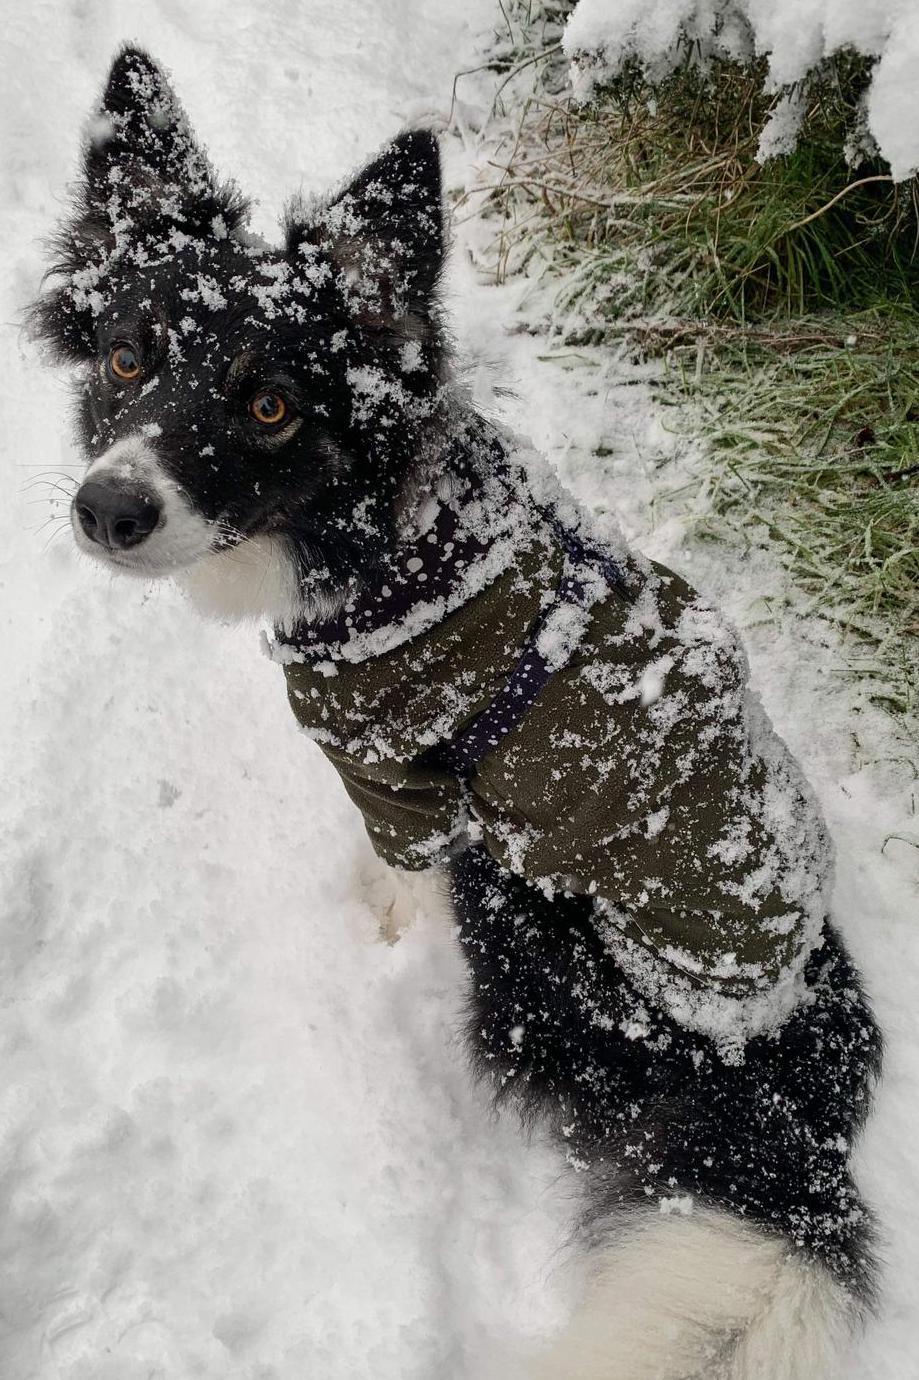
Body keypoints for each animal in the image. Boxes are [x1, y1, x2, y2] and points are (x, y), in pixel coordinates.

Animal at [33, 45, 883, 1380]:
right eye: (128, 356)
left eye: (271, 404)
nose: (106, 512)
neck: (375, 538)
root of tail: (782, 1048)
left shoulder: (400, 774)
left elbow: (396, 874)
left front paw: (377, 939)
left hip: (536, 923)